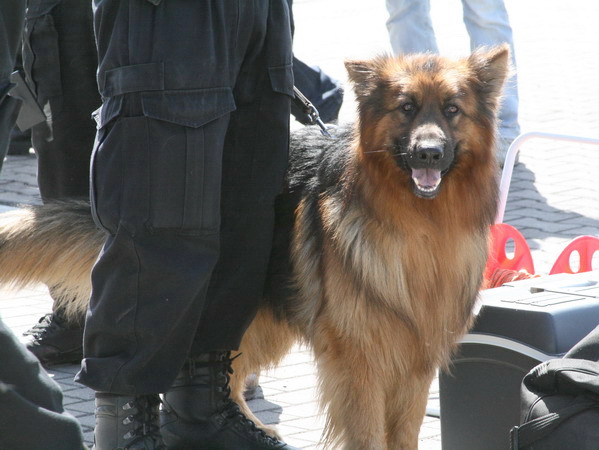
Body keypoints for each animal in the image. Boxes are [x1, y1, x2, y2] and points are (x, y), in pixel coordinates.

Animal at [0, 44, 508, 446]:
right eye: (406, 108)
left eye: (452, 110)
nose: (428, 154)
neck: (417, 225)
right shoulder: (361, 358)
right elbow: (368, 434)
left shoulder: (416, 358)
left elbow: (403, 434)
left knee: (223, 373)